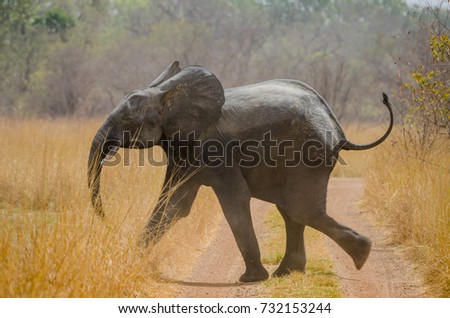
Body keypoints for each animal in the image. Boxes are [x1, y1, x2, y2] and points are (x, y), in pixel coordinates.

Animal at [87, 60, 390, 282]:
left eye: (128, 119)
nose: (108, 221)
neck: (168, 94)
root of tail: (337, 127)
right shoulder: (183, 148)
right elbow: (173, 205)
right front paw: (132, 261)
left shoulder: (214, 149)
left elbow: (233, 201)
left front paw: (252, 279)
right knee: (292, 210)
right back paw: (288, 272)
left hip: (308, 155)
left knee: (301, 210)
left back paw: (361, 254)